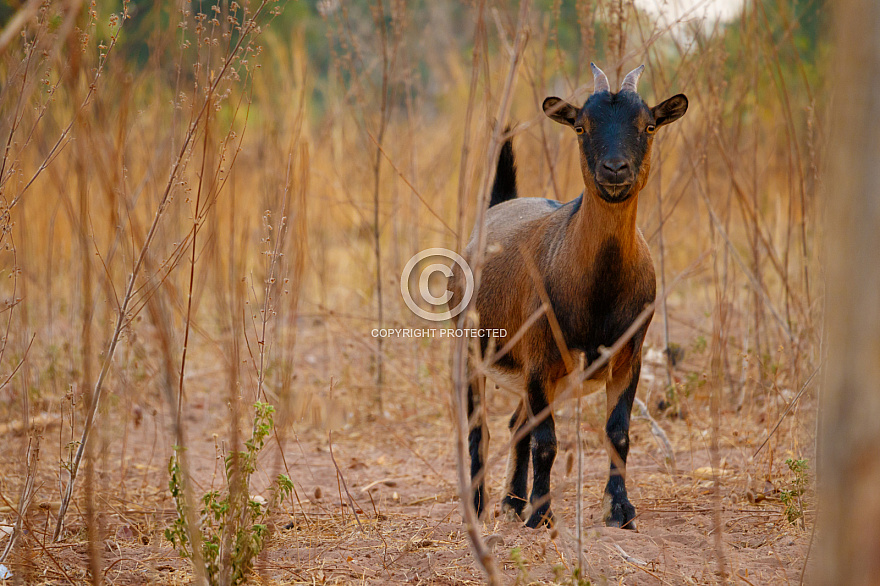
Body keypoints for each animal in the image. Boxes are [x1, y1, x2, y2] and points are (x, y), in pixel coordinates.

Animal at [454, 61, 688, 528]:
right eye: (582, 126)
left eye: (649, 125)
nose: (615, 169)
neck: (598, 292)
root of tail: (497, 206)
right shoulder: (541, 355)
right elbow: (546, 441)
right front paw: (542, 514)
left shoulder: (627, 356)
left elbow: (618, 433)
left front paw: (620, 510)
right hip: (473, 352)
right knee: (480, 428)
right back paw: (481, 507)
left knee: (515, 423)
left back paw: (512, 502)